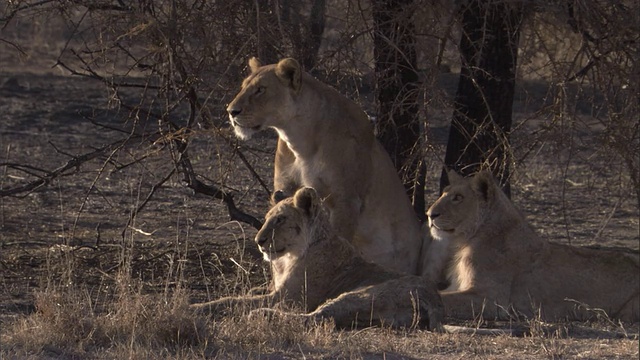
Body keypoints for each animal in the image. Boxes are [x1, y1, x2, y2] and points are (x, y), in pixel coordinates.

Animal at [190, 187, 444, 330]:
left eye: (280, 219)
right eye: (267, 217)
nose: (259, 240)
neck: (287, 259)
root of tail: (435, 300)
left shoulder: (289, 299)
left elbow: (232, 300)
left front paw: (195, 306)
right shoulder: (276, 290)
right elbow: (247, 293)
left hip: (362, 294)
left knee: (316, 318)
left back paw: (263, 315)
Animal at [225, 57, 424, 274]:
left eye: (260, 89)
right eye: (243, 87)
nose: (231, 111)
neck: (299, 140)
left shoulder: (346, 200)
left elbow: (337, 240)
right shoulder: (284, 188)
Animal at [424, 170, 640, 322]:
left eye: (458, 198)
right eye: (444, 193)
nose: (429, 214)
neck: (466, 240)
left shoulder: (492, 300)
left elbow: (442, 298)